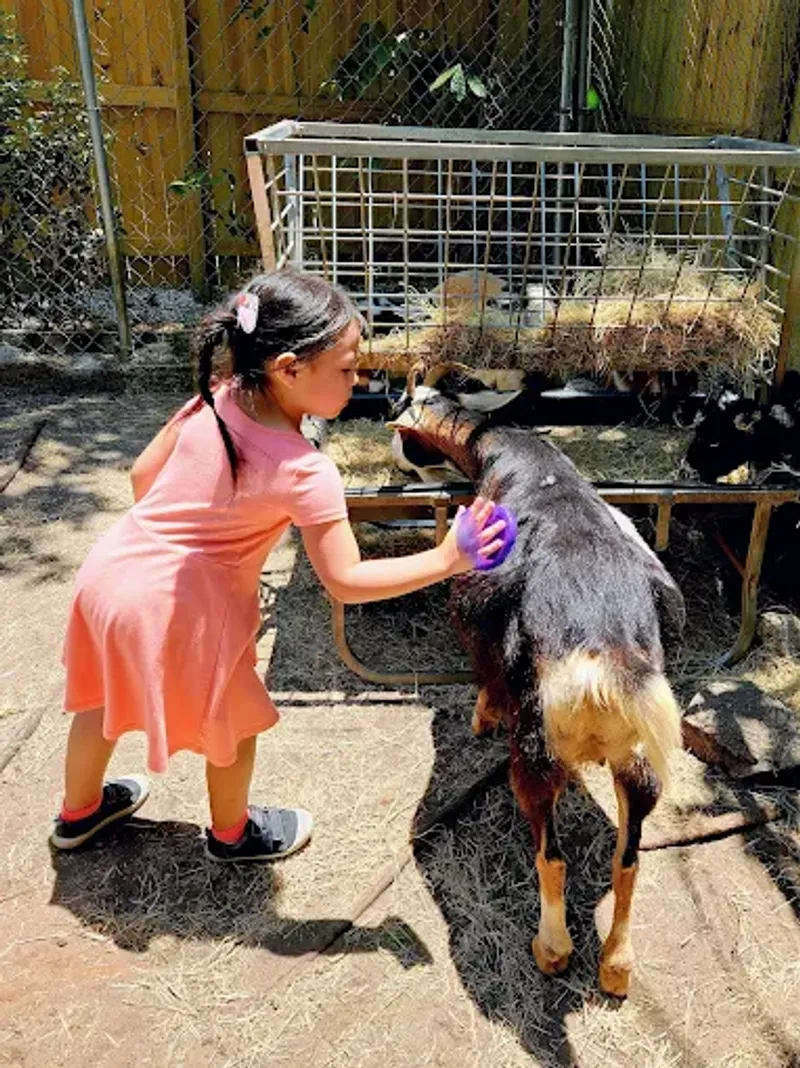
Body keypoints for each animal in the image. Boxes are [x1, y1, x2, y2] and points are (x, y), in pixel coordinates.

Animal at [390, 366, 685, 997]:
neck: (514, 456)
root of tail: (602, 652)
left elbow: (482, 673)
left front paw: (480, 716)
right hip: (639, 758)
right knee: (629, 859)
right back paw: (617, 967)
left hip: (535, 746)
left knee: (551, 854)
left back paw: (552, 950)